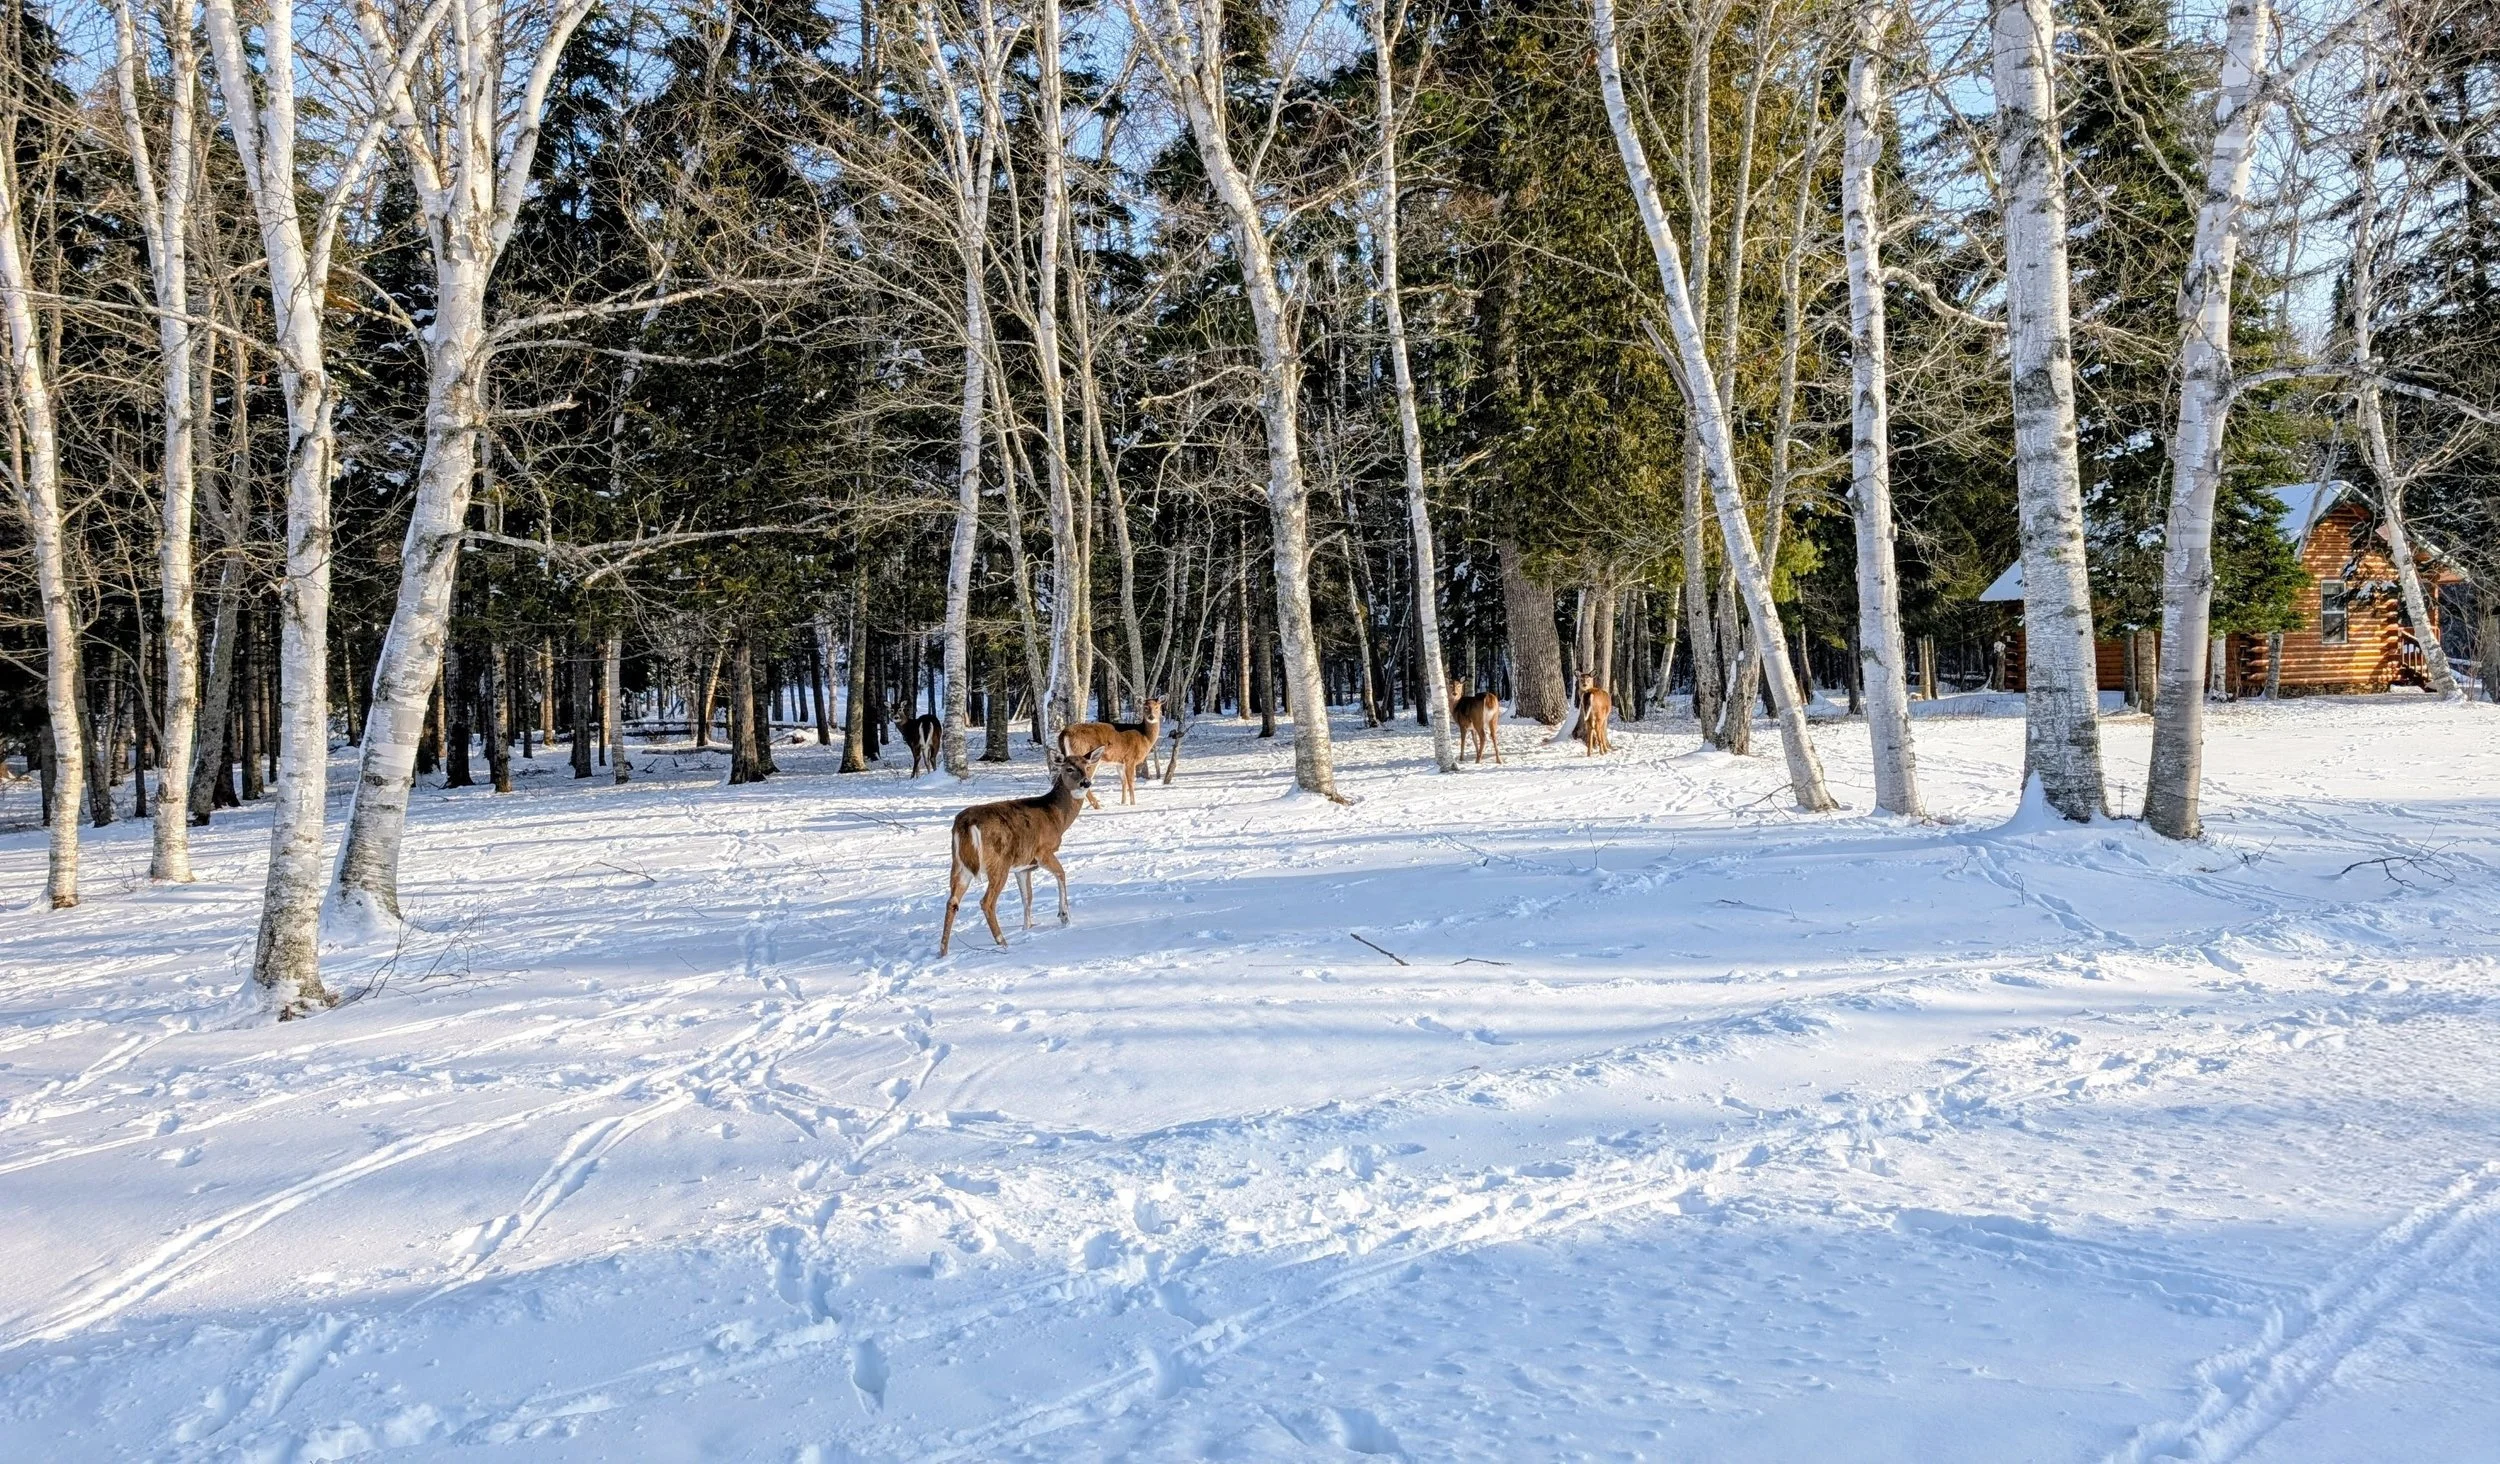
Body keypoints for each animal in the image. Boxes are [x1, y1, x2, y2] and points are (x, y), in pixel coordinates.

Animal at [939, 750, 1102, 955]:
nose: (1086, 782)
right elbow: (1061, 874)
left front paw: (1027, 928)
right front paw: (1064, 916)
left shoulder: (1023, 867)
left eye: (1087, 766)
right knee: (986, 902)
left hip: (959, 865)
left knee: (952, 902)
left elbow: (1027, 897)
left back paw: (943, 951)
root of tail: (966, 824)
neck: (1056, 817)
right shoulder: (1043, 851)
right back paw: (1003, 942)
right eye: (1069, 768)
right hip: (998, 862)